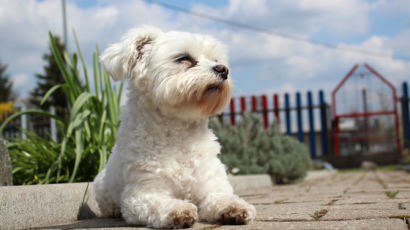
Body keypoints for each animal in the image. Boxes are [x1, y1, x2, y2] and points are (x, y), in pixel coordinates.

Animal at [93, 25, 256, 228]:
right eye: (183, 58)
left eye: (216, 60)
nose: (223, 69)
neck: (179, 134)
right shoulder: (142, 194)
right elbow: (160, 203)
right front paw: (178, 210)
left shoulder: (210, 184)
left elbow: (220, 197)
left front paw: (234, 207)